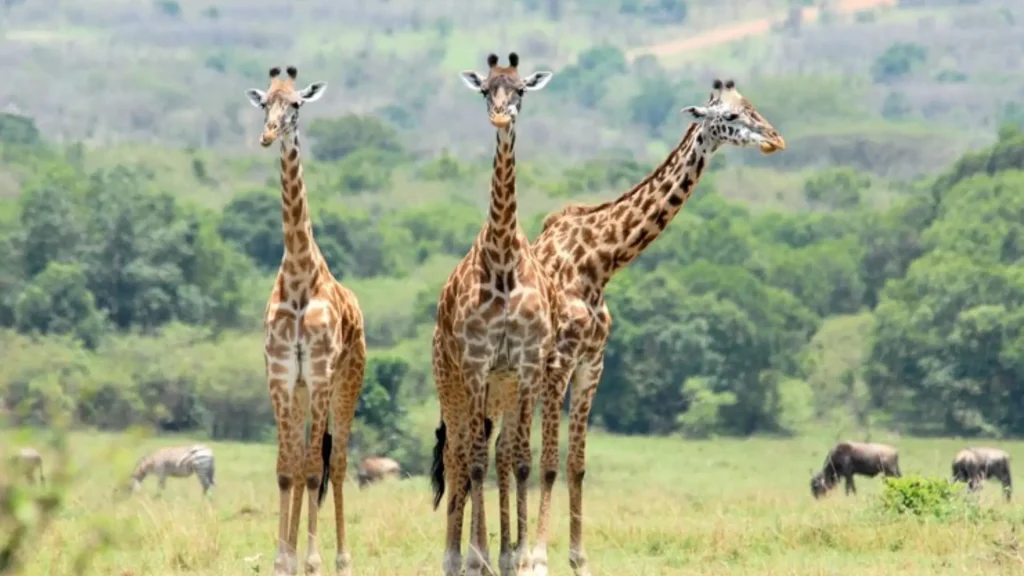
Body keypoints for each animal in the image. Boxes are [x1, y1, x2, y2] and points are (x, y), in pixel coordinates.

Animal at [527, 79, 787, 576]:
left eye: (753, 107)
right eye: (731, 116)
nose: (776, 140)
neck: (601, 262)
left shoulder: (592, 364)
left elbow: (576, 465)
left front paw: (578, 560)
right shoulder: (558, 363)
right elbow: (547, 462)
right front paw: (535, 561)